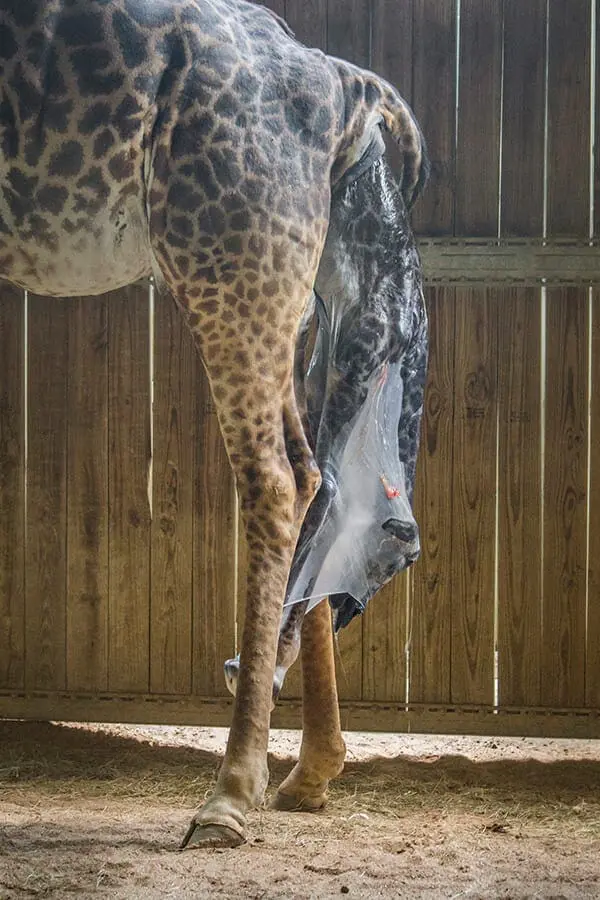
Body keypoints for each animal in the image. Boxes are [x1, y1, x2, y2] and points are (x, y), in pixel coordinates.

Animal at [1, 0, 432, 848]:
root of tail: (344, 85)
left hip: (229, 262)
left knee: (280, 478)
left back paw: (229, 795)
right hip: (283, 291)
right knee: (322, 476)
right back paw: (308, 772)